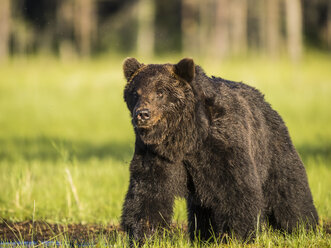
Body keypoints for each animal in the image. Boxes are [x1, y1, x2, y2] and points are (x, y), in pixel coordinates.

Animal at [120, 57, 320, 244]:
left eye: (160, 92)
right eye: (135, 93)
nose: (143, 114)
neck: (185, 138)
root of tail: (264, 100)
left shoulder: (221, 143)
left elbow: (236, 189)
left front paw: (236, 235)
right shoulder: (156, 153)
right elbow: (148, 192)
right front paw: (145, 236)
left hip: (272, 146)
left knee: (288, 188)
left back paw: (304, 227)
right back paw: (203, 236)